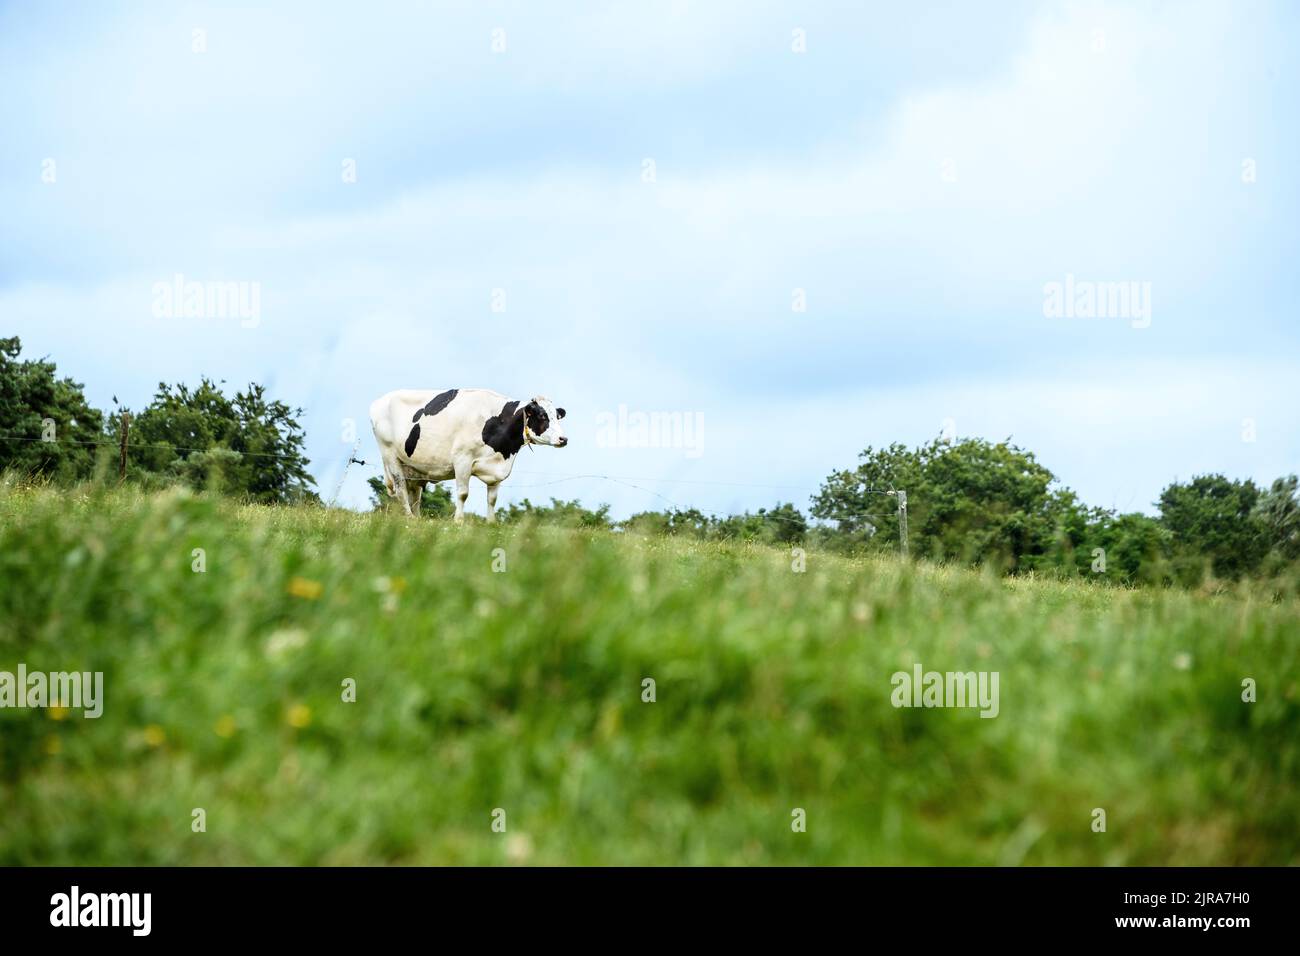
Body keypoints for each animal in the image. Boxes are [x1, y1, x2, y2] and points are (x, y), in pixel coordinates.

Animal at [369, 387, 566, 522]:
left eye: (557, 417)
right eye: (542, 416)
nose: (563, 439)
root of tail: (379, 401)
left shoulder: (496, 469)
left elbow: (492, 499)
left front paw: (491, 522)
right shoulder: (462, 459)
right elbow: (463, 493)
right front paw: (459, 521)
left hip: (413, 466)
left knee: (415, 494)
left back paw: (417, 519)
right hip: (390, 455)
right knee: (401, 488)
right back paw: (409, 518)